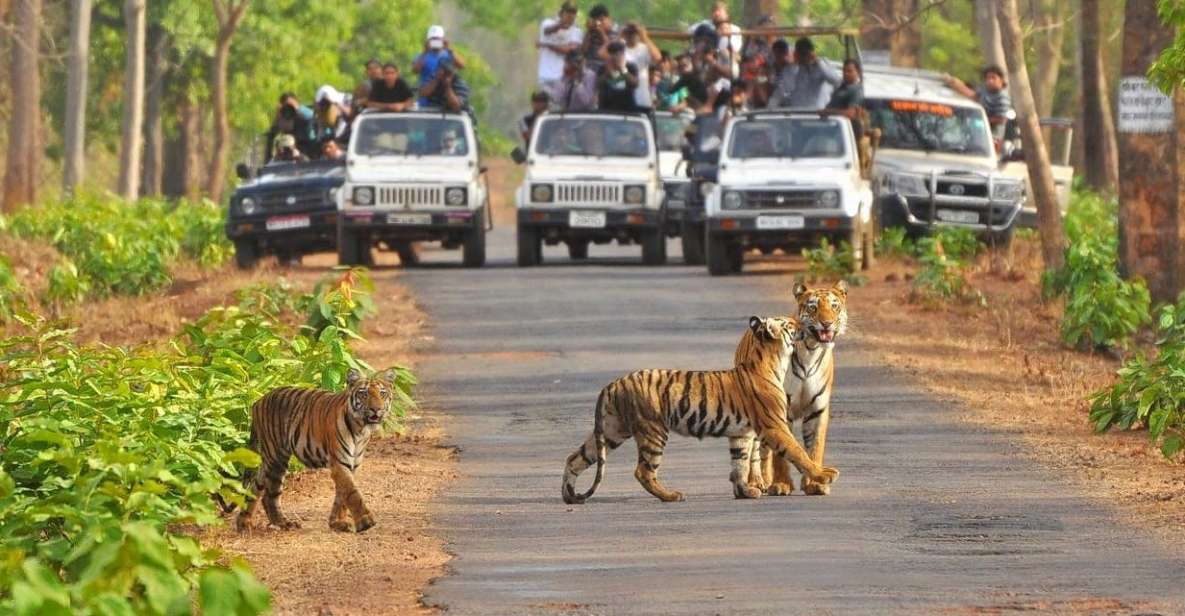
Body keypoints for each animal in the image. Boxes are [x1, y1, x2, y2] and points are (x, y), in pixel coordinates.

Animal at [232, 367, 398, 530]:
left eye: (382, 393)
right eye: (364, 394)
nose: (376, 409)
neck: (361, 429)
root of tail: (258, 401)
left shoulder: (352, 464)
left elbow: (342, 495)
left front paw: (337, 522)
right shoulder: (339, 463)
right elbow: (352, 492)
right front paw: (365, 521)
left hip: (270, 460)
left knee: (256, 486)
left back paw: (245, 522)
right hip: (276, 457)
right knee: (269, 494)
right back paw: (282, 523)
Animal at [559, 315, 838, 502]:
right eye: (790, 325)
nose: (805, 326)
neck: (772, 361)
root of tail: (613, 383)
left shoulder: (742, 434)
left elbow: (740, 463)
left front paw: (744, 492)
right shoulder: (775, 426)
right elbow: (798, 452)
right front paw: (824, 475)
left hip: (612, 430)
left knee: (575, 458)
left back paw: (569, 495)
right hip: (653, 430)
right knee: (643, 471)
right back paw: (671, 495)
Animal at [748, 281, 853, 497]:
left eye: (834, 306)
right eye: (813, 307)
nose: (827, 323)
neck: (811, 350)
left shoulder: (818, 409)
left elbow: (815, 447)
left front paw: (815, 484)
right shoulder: (781, 410)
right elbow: (781, 453)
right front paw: (781, 484)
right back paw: (757, 483)